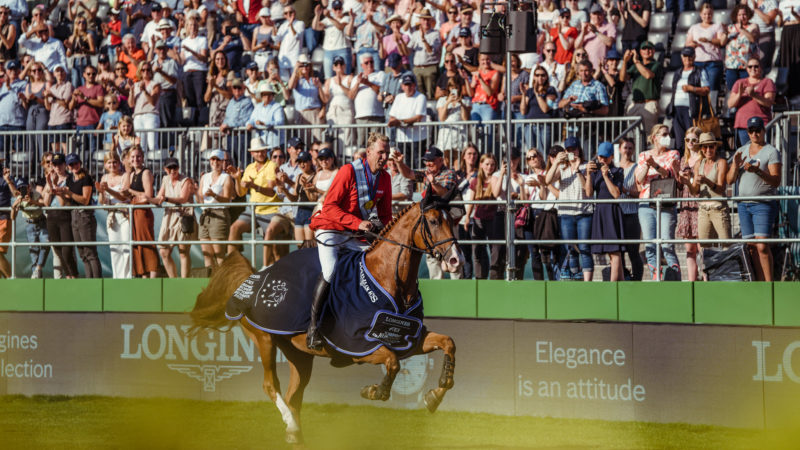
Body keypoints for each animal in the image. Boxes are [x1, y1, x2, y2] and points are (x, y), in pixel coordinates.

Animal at [188, 189, 462, 442]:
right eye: (434, 221)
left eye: (453, 220)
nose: (455, 260)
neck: (389, 280)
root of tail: (254, 276)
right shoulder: (360, 346)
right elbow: (393, 363)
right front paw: (374, 391)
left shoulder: (408, 340)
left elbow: (449, 343)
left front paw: (434, 396)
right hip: (265, 339)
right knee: (271, 385)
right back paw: (291, 424)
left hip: (298, 354)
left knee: (293, 395)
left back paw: (294, 434)